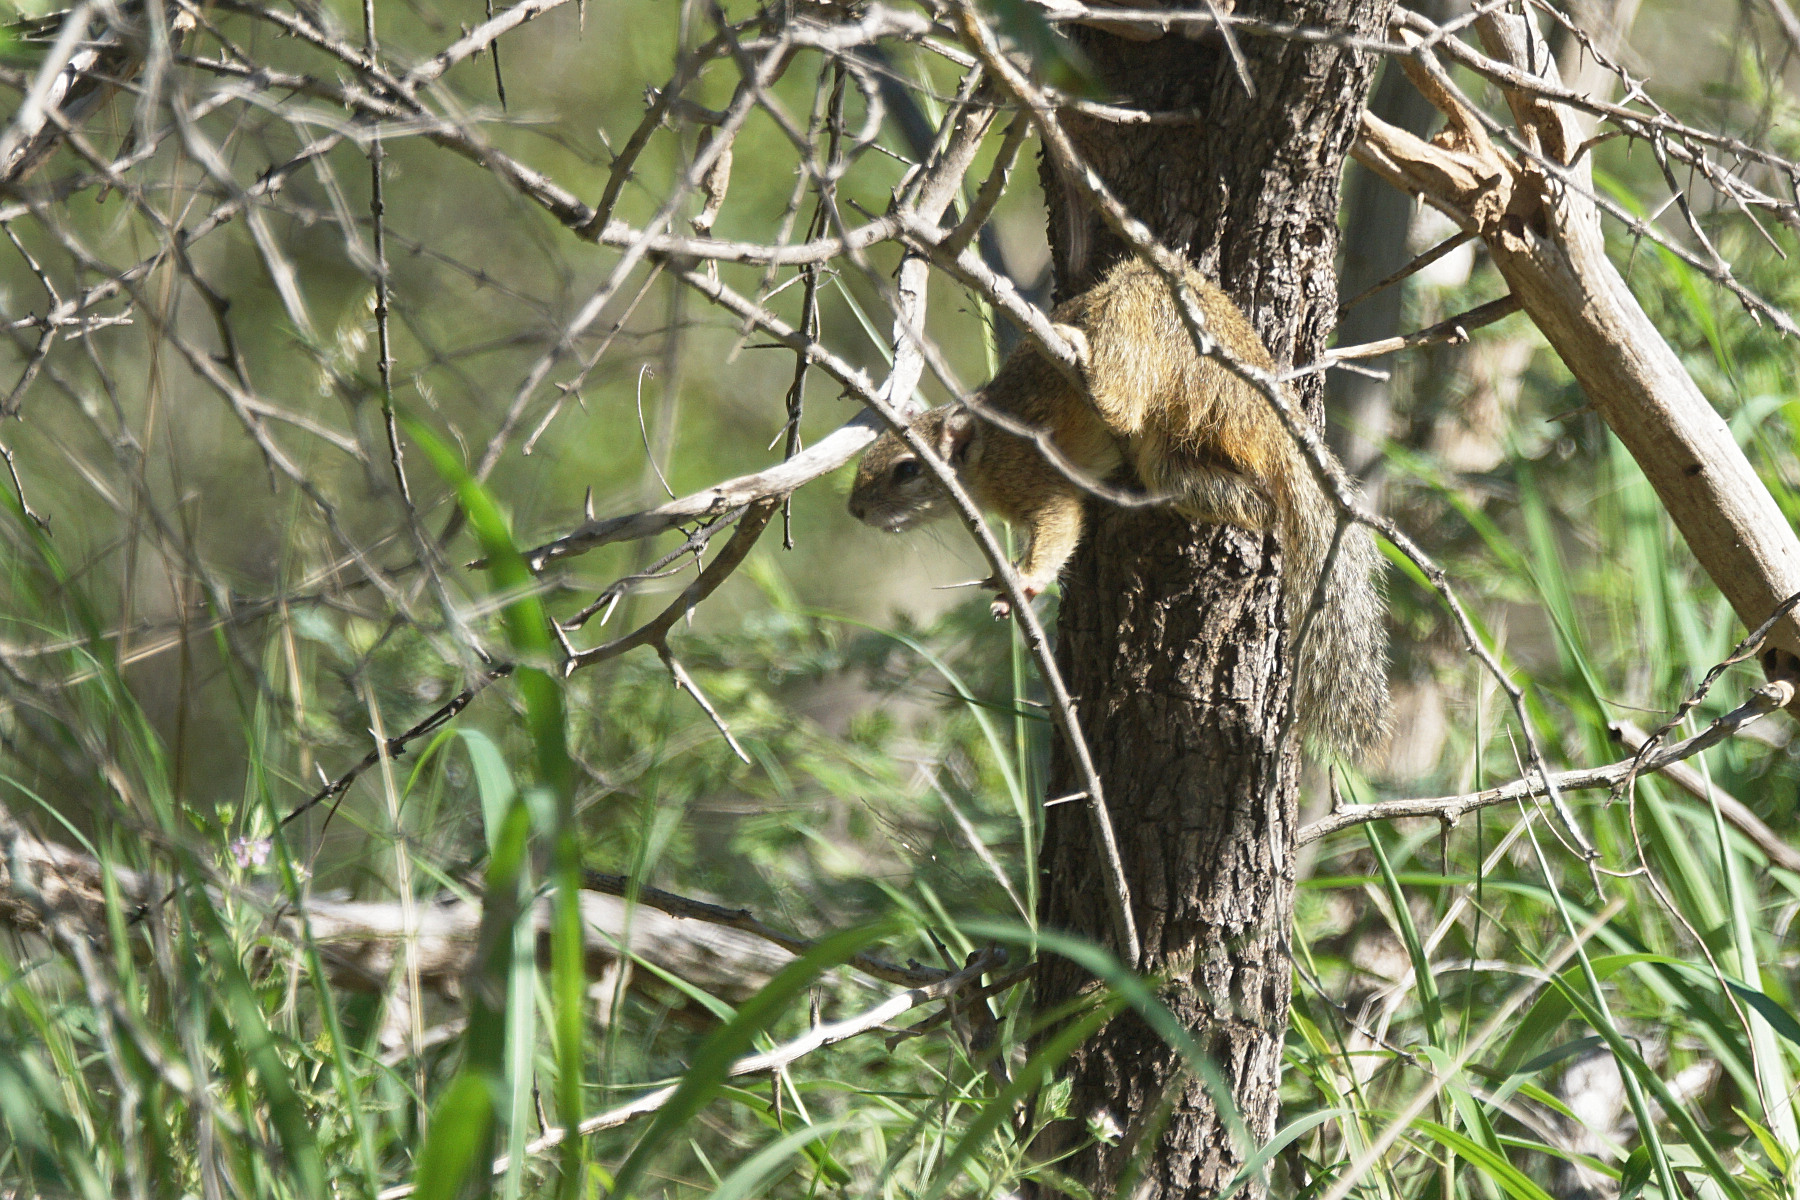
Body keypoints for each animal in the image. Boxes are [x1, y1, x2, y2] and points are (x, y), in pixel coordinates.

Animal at [846, 259, 1389, 759]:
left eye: (907, 470)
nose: (854, 509)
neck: (988, 450)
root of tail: (1271, 412)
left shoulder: (1038, 481)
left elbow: (1060, 529)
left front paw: (1025, 581)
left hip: (1154, 325)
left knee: (1123, 399)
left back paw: (1082, 353)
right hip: (1169, 461)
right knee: (1244, 500)